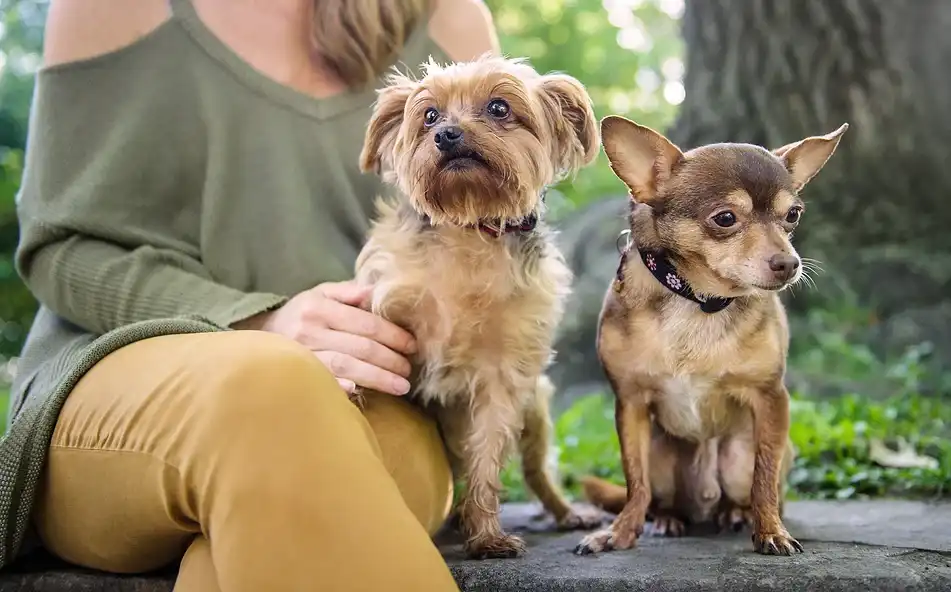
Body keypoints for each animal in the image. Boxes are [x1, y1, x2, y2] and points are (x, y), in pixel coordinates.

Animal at [354, 55, 608, 560]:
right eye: (429, 115)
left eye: (498, 107)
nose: (447, 134)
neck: (469, 227)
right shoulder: (385, 308)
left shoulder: (503, 375)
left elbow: (488, 457)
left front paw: (487, 536)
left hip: (538, 409)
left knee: (536, 470)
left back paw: (568, 512)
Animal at [572, 114, 848, 556]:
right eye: (725, 218)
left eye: (793, 216)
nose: (789, 263)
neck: (699, 301)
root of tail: (703, 503)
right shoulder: (630, 403)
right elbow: (635, 482)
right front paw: (618, 533)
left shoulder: (770, 398)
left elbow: (764, 478)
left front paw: (770, 532)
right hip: (661, 453)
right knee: (656, 496)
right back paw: (667, 520)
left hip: (736, 457)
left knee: (749, 489)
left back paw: (736, 514)